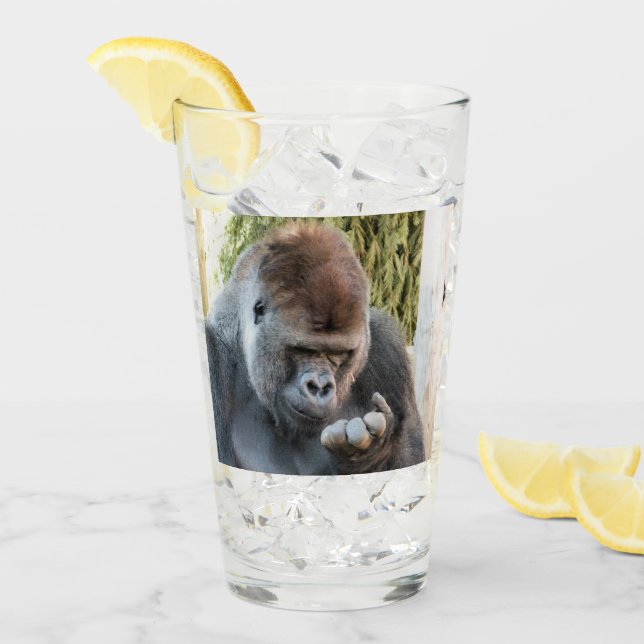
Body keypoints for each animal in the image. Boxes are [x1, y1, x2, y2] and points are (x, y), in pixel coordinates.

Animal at [205, 223, 425, 475]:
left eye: (337, 354)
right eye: (304, 350)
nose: (319, 387)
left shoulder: (386, 348)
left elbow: (413, 456)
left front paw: (373, 454)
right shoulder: (212, 357)